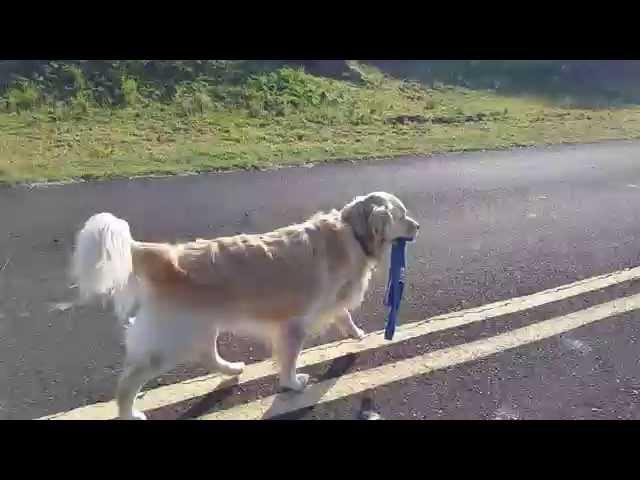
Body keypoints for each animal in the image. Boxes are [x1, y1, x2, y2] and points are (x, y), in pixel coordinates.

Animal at [71, 192, 420, 420]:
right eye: (402, 215)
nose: (417, 226)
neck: (351, 232)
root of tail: (163, 254)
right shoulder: (293, 324)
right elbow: (290, 360)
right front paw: (293, 384)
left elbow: (343, 314)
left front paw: (357, 333)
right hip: (171, 340)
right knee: (129, 382)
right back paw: (129, 412)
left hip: (200, 326)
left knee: (207, 356)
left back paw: (232, 368)